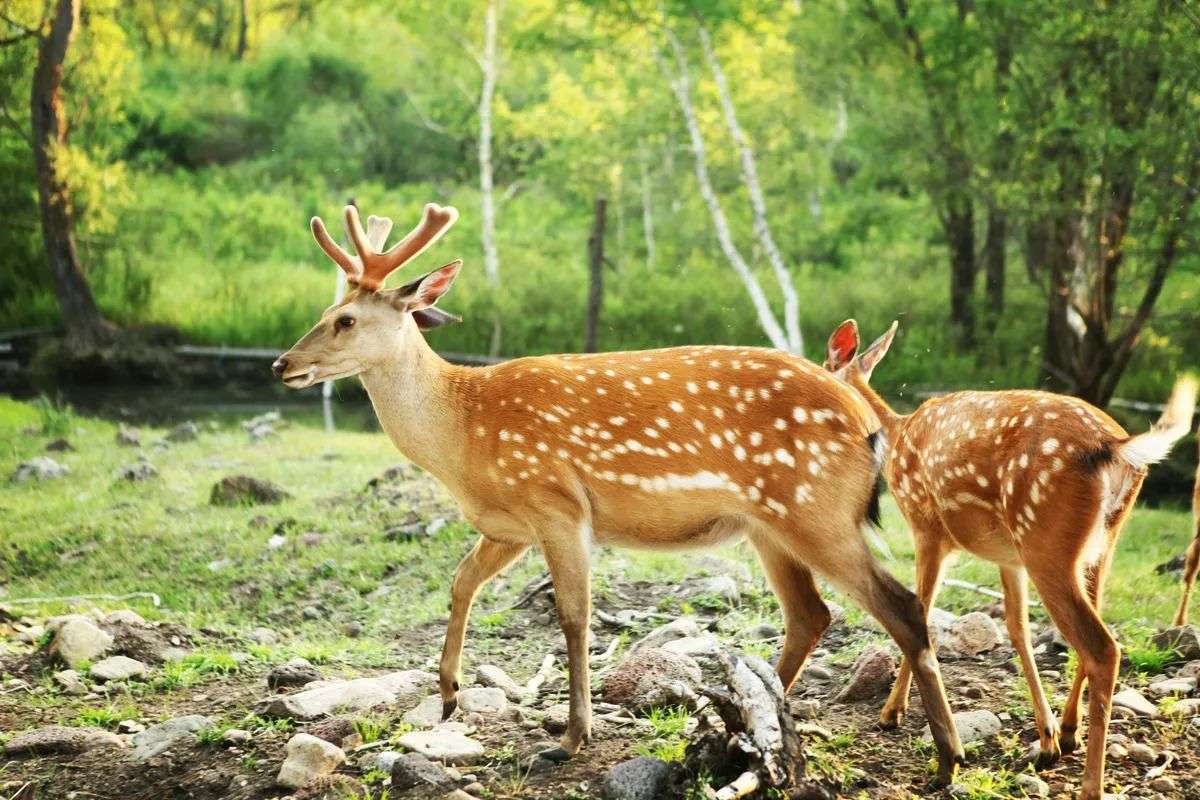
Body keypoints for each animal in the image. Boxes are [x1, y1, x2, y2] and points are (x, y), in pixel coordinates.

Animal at [274, 203, 964, 786]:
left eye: (344, 320)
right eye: (328, 311)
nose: (282, 363)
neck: (460, 433)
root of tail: (870, 422)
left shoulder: (555, 501)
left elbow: (574, 616)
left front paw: (570, 737)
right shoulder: (507, 524)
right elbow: (461, 581)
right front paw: (447, 693)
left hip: (815, 507)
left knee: (901, 606)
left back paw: (947, 758)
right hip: (770, 525)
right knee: (812, 615)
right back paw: (752, 721)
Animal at [825, 319, 1200, 800]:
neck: (897, 440)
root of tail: (1116, 446)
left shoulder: (927, 528)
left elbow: (921, 610)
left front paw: (891, 712)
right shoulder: (1008, 556)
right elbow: (1017, 628)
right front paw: (1047, 737)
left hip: (1046, 539)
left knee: (1102, 646)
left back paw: (1090, 784)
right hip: (1096, 543)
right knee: (1093, 628)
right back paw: (1070, 731)